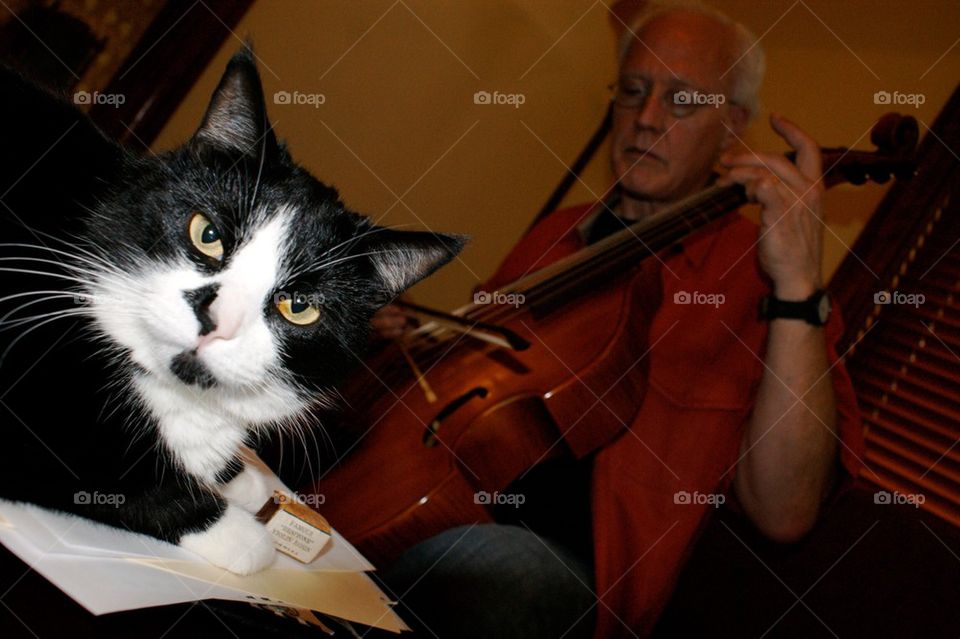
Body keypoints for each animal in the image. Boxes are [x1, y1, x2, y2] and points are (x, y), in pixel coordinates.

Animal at [0, 50, 464, 576]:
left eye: (299, 306)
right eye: (207, 234)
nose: (215, 320)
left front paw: (239, 476)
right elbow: (104, 463)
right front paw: (236, 533)